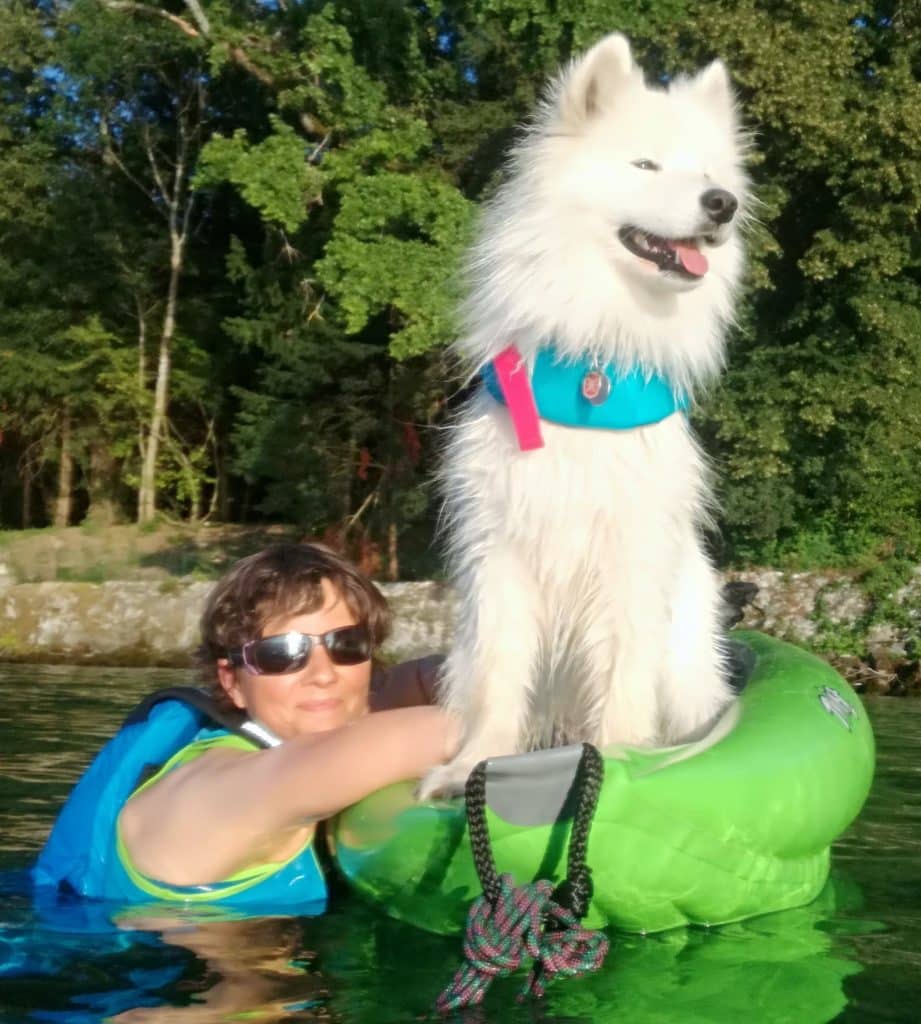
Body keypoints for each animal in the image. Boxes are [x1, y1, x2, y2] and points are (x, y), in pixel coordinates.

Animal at [417, 34, 749, 798]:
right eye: (645, 165)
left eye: (709, 174)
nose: (722, 204)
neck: (596, 361)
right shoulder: (502, 555)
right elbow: (501, 681)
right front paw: (469, 766)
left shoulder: (630, 556)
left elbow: (623, 681)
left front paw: (624, 761)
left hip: (688, 664)